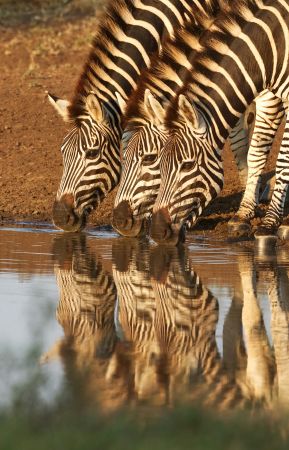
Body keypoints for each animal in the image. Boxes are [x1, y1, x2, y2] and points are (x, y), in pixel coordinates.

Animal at [112, 1, 284, 239]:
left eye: (150, 158)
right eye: (122, 157)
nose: (119, 221)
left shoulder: (268, 94)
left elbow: (259, 152)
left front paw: (259, 218)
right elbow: (241, 146)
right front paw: (248, 207)